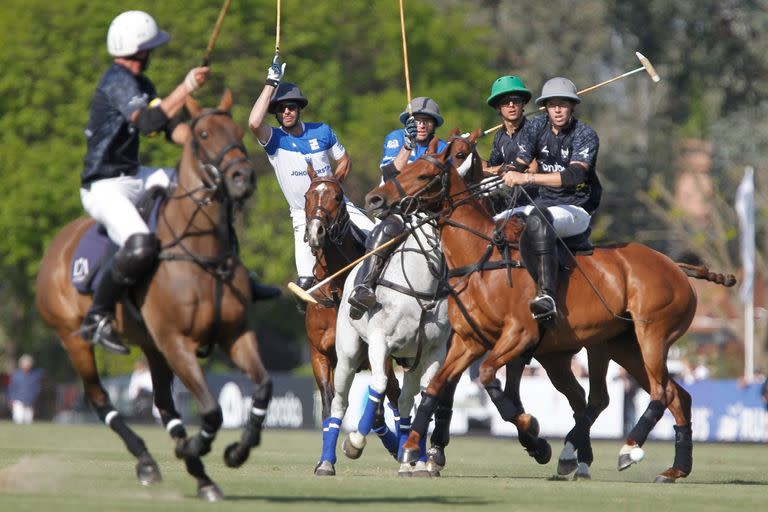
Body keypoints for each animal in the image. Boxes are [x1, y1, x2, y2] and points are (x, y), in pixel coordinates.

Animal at [36, 90, 272, 502]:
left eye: (239, 131)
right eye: (204, 134)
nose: (242, 178)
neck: (203, 254)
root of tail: (57, 244)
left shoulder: (234, 334)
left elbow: (262, 387)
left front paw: (236, 451)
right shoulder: (176, 340)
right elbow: (212, 410)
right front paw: (196, 447)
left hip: (151, 345)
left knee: (162, 404)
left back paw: (200, 476)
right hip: (73, 337)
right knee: (99, 399)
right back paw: (149, 460)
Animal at [316, 217, 452, 476]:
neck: (422, 289)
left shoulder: (435, 351)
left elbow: (426, 396)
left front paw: (417, 461)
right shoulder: (380, 342)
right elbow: (377, 386)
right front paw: (354, 443)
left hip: (411, 362)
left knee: (405, 402)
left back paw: (410, 461)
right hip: (348, 355)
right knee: (339, 403)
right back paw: (326, 462)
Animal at [366, 134, 736, 482]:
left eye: (424, 174)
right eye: (404, 169)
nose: (374, 199)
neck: (481, 256)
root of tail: (676, 266)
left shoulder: (519, 334)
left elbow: (490, 379)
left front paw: (535, 435)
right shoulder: (469, 340)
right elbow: (436, 387)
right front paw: (414, 448)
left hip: (652, 334)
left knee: (653, 392)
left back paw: (626, 449)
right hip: (622, 344)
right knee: (674, 396)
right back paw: (673, 469)